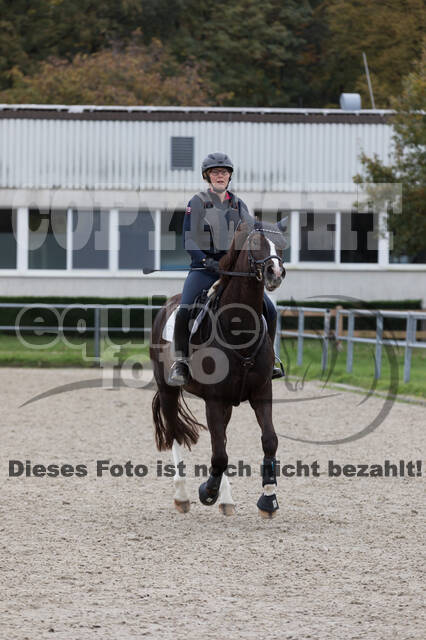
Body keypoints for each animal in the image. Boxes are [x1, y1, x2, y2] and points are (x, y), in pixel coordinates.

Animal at [149, 220, 286, 516]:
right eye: (255, 244)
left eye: (282, 245)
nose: (276, 272)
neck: (239, 325)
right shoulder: (214, 398)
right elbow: (220, 453)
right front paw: (207, 491)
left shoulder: (261, 392)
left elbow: (269, 440)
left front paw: (268, 497)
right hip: (167, 389)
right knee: (176, 432)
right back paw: (183, 495)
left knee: (219, 439)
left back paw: (226, 499)